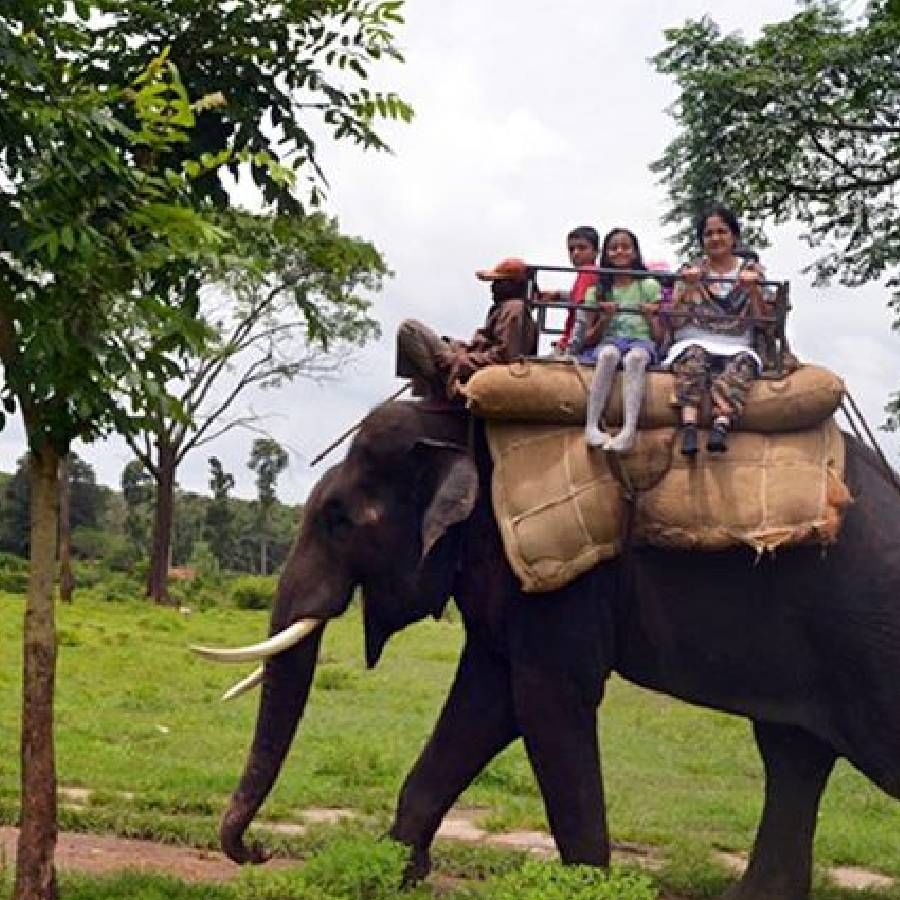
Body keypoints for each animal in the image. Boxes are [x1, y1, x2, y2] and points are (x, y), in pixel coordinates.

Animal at [197, 402, 900, 900]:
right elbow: (487, 700)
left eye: (339, 520)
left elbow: (544, 699)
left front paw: (586, 887)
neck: (465, 433)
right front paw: (393, 871)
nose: (255, 852)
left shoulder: (565, 584)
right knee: (792, 754)